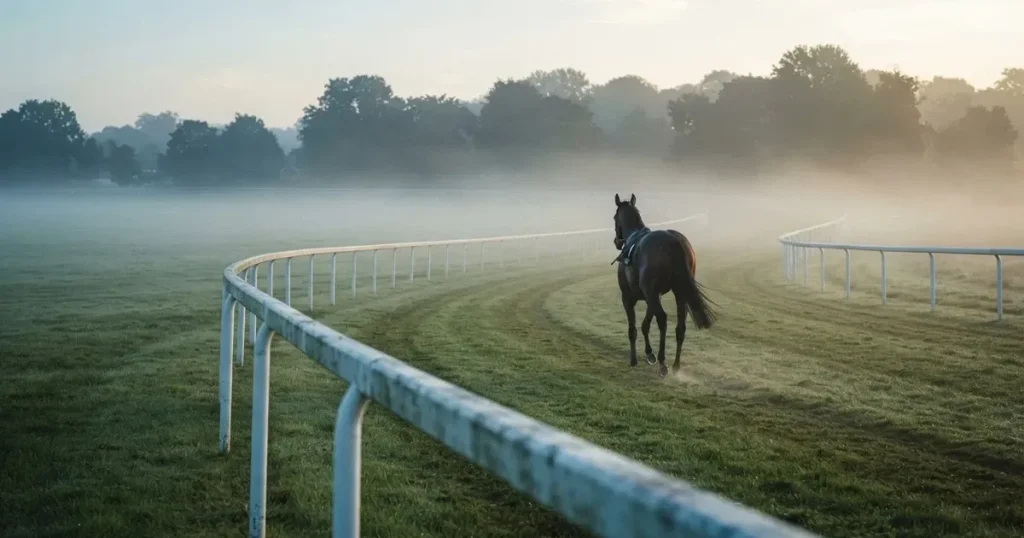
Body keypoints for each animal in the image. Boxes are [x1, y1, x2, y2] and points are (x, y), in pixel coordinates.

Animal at [611, 193, 717, 378]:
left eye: (614, 217)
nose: (617, 241)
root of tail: (674, 241)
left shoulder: (629, 297)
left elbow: (633, 329)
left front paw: (634, 359)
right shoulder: (652, 296)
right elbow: (645, 324)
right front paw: (649, 354)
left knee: (663, 319)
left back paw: (662, 363)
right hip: (680, 292)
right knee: (680, 326)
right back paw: (676, 365)